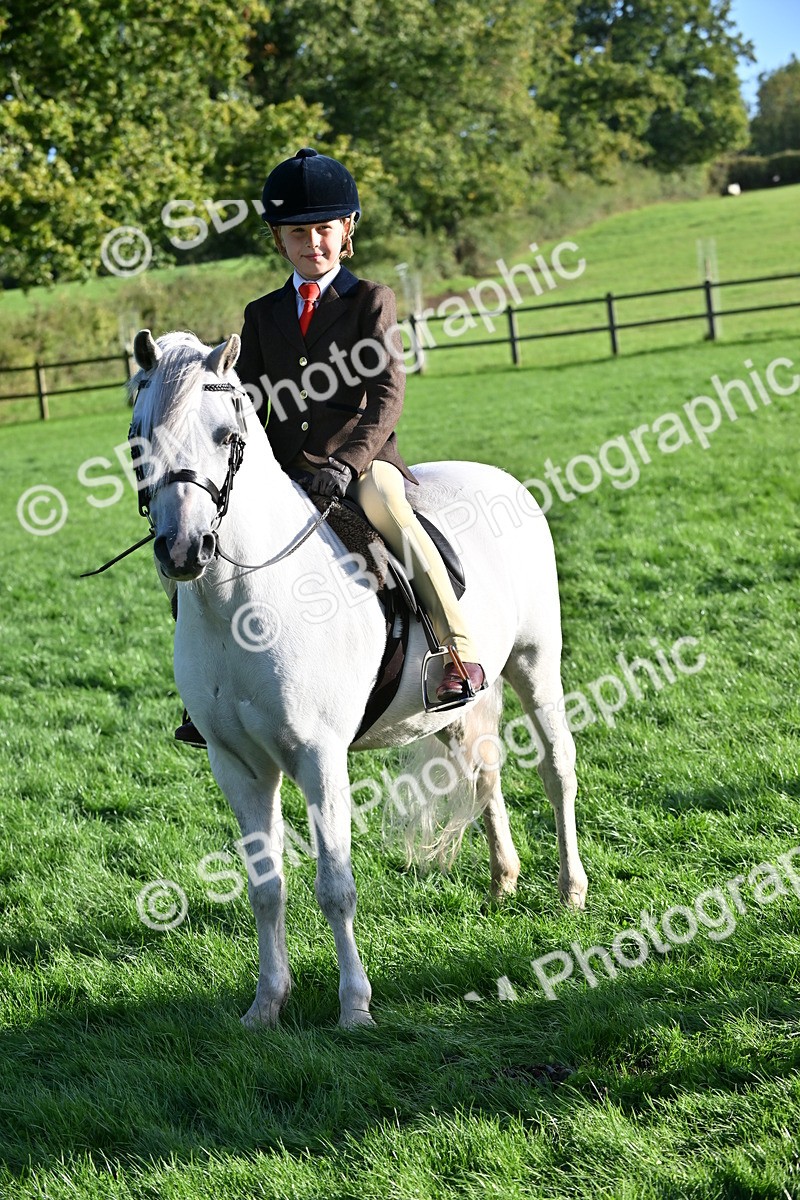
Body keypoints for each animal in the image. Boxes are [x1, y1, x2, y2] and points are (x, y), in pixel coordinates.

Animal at [128, 328, 588, 1029]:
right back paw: (502, 881)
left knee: (556, 766)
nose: (183, 549)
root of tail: (500, 478)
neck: (243, 605)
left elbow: (335, 887)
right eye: (138, 437)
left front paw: (355, 1007)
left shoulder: (320, 758)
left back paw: (569, 892)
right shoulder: (237, 765)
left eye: (225, 435)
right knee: (484, 772)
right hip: (453, 707)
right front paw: (267, 1005)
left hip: (536, 662)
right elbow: (266, 888)